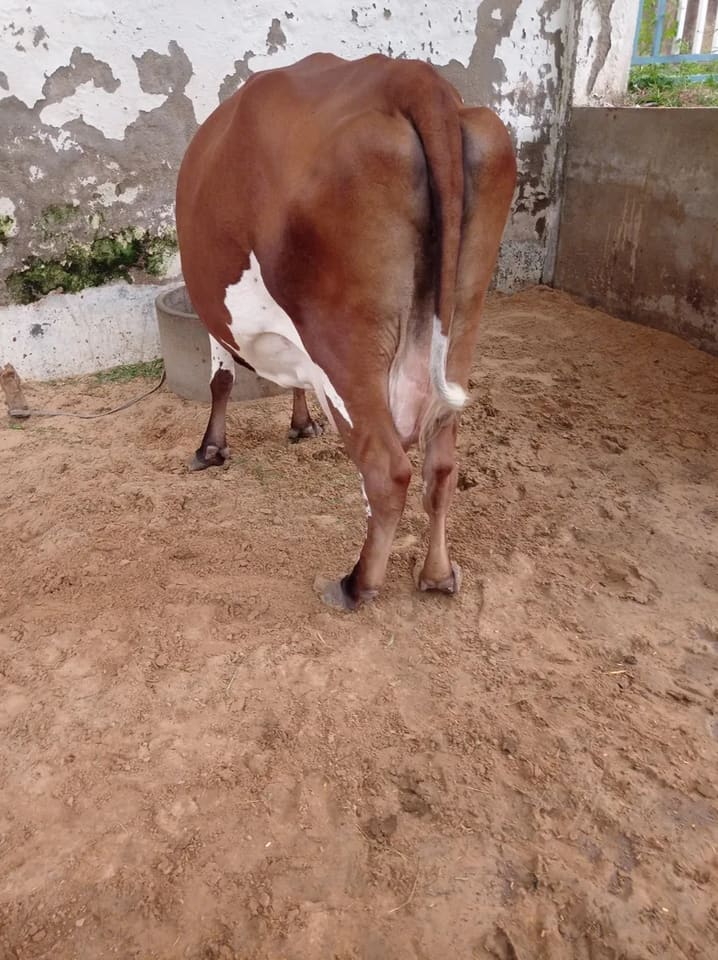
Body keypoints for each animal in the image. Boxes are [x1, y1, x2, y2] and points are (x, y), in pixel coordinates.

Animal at [175, 52, 516, 610]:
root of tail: (410, 77)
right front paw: (301, 424)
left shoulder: (220, 319)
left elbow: (220, 380)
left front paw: (211, 449)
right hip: (461, 326)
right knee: (441, 466)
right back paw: (438, 573)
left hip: (344, 347)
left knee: (385, 469)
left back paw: (357, 584)